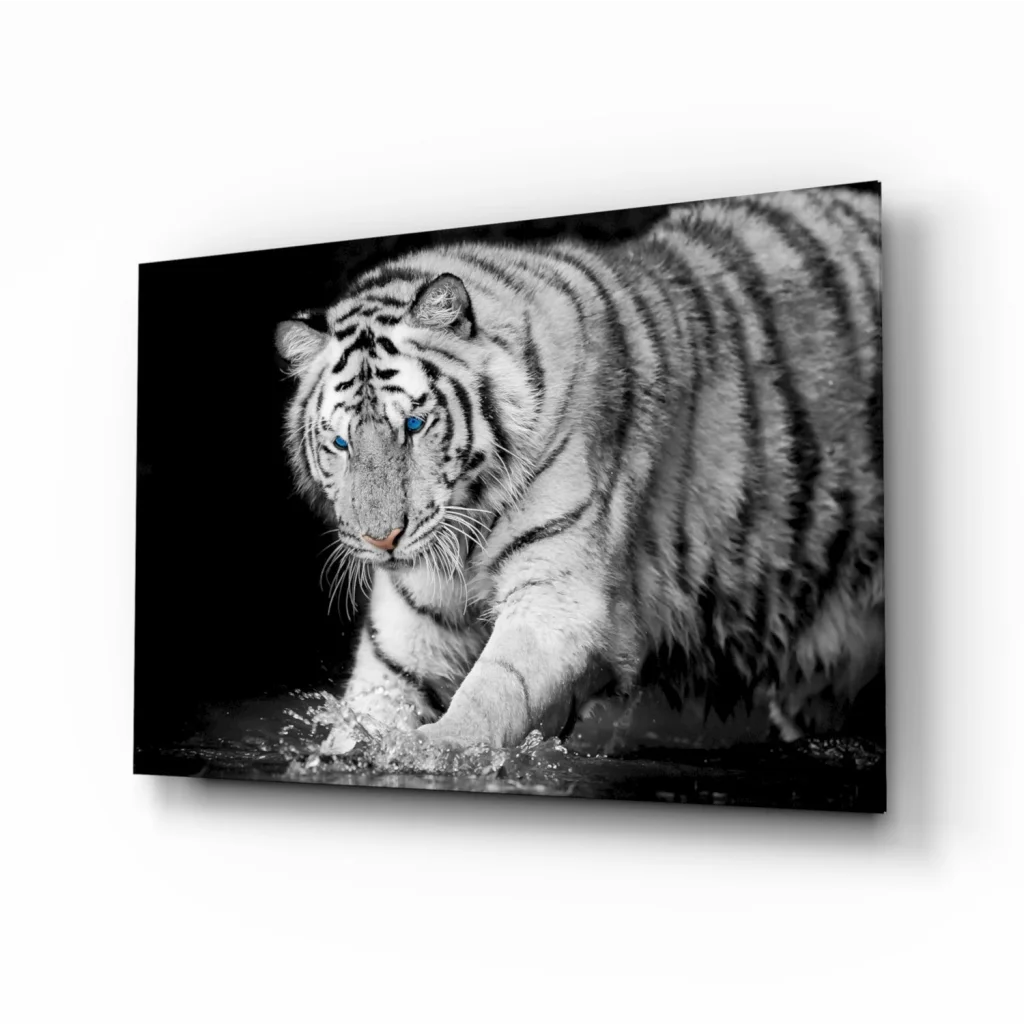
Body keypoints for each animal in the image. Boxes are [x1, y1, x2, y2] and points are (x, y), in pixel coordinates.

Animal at [275, 184, 883, 754]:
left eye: (416, 425)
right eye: (340, 442)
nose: (382, 540)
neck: (466, 523)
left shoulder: (559, 597)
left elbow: (494, 689)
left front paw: (439, 748)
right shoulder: (409, 620)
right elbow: (375, 699)